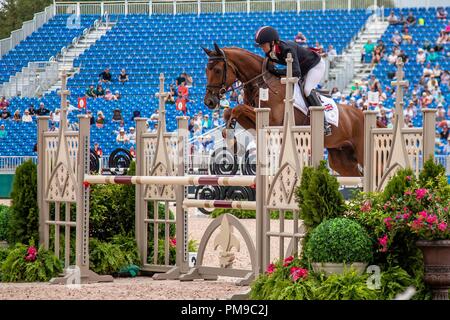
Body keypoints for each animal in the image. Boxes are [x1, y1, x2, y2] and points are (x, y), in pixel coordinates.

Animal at [203, 43, 366, 176]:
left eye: (217, 70)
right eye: (206, 71)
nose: (209, 102)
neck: (261, 84)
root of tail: (360, 113)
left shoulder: (273, 122)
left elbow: (238, 108)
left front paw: (233, 141)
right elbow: (229, 112)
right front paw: (232, 140)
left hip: (360, 153)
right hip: (341, 159)